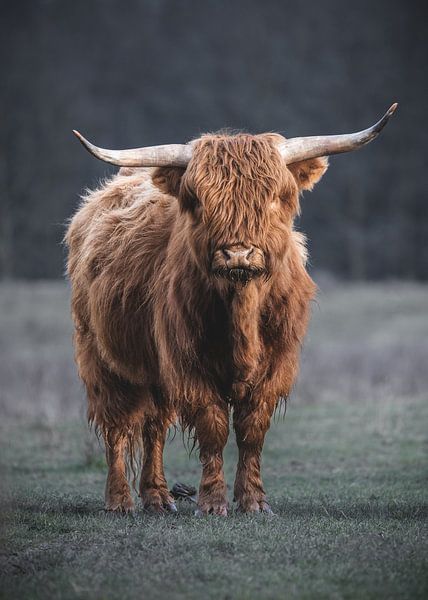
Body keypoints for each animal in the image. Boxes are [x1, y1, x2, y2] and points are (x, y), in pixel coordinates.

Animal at [65, 104, 396, 516]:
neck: (241, 308)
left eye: (275, 197)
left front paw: (254, 501)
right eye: (199, 200)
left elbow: (252, 429)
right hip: (101, 357)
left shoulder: (275, 365)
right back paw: (120, 500)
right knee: (118, 425)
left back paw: (158, 497)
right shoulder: (190, 365)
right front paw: (211, 502)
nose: (238, 253)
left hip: (155, 369)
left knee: (154, 425)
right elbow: (213, 427)